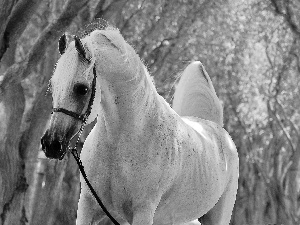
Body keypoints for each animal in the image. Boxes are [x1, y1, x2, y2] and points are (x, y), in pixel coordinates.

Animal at [41, 26, 239, 225]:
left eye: (81, 88)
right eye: (52, 86)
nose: (51, 144)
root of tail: (217, 129)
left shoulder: (143, 212)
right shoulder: (88, 206)